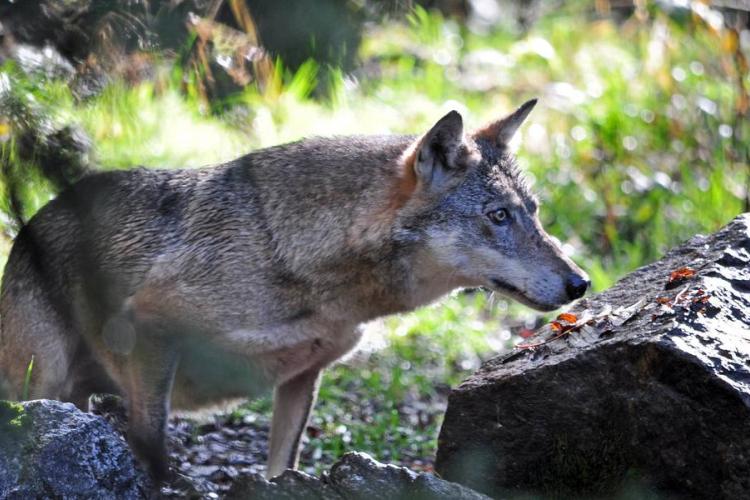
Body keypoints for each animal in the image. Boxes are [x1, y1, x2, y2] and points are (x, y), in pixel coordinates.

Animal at [0, 99, 588, 480]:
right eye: (498, 216)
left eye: (533, 213)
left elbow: (283, 466)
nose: (581, 283)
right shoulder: (151, 328)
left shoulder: (305, 376)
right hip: (43, 383)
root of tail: (30, 222)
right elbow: (155, 452)